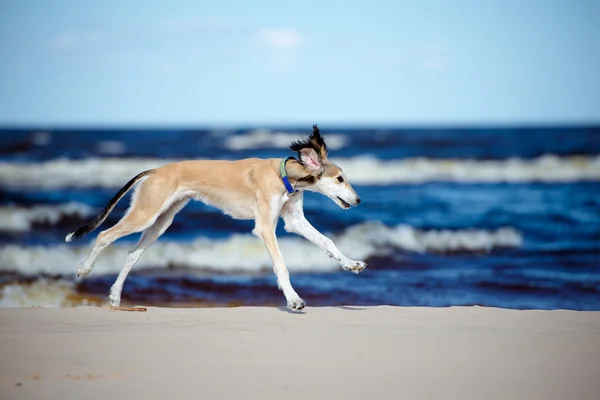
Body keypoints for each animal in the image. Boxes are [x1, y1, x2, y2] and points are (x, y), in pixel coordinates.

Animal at [65, 124, 366, 310]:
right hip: (145, 214)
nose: (358, 200)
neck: (285, 175)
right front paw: (293, 299)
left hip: (160, 223)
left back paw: (115, 296)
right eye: (340, 179)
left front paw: (351, 264)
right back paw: (84, 269)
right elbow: (282, 266)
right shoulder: (265, 228)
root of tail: (157, 169)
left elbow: (327, 242)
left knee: (131, 255)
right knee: (104, 235)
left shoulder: (294, 221)